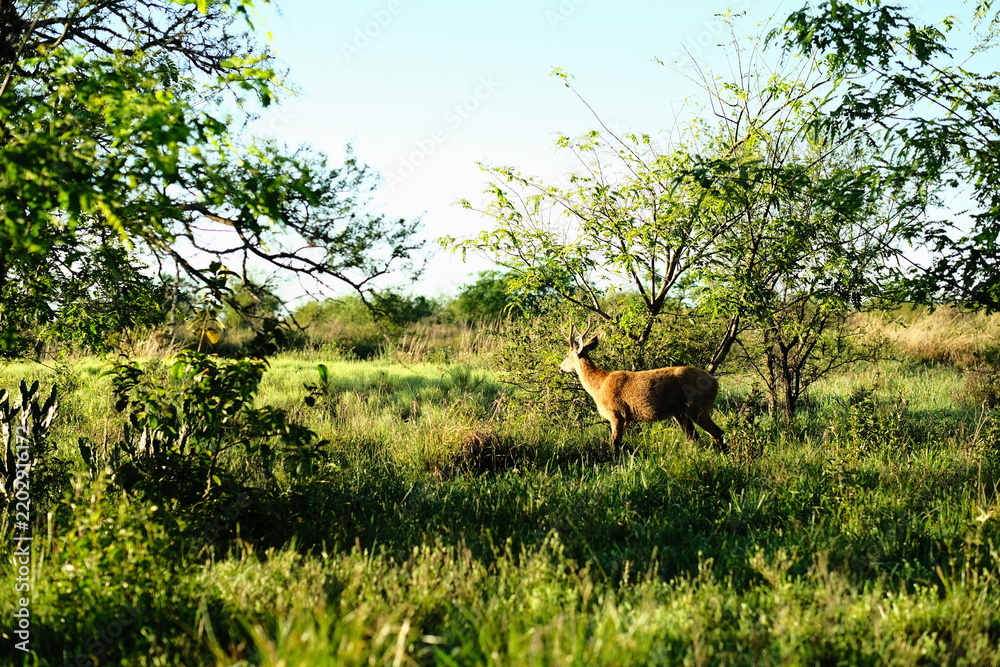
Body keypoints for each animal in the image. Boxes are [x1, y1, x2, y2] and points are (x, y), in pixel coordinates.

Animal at [559, 325, 726, 453]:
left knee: (718, 432)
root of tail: (714, 381)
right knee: (694, 437)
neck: (599, 385)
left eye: (567, 355)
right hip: (680, 412)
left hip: (698, 407)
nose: (560, 367)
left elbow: (615, 442)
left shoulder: (616, 414)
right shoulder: (625, 418)